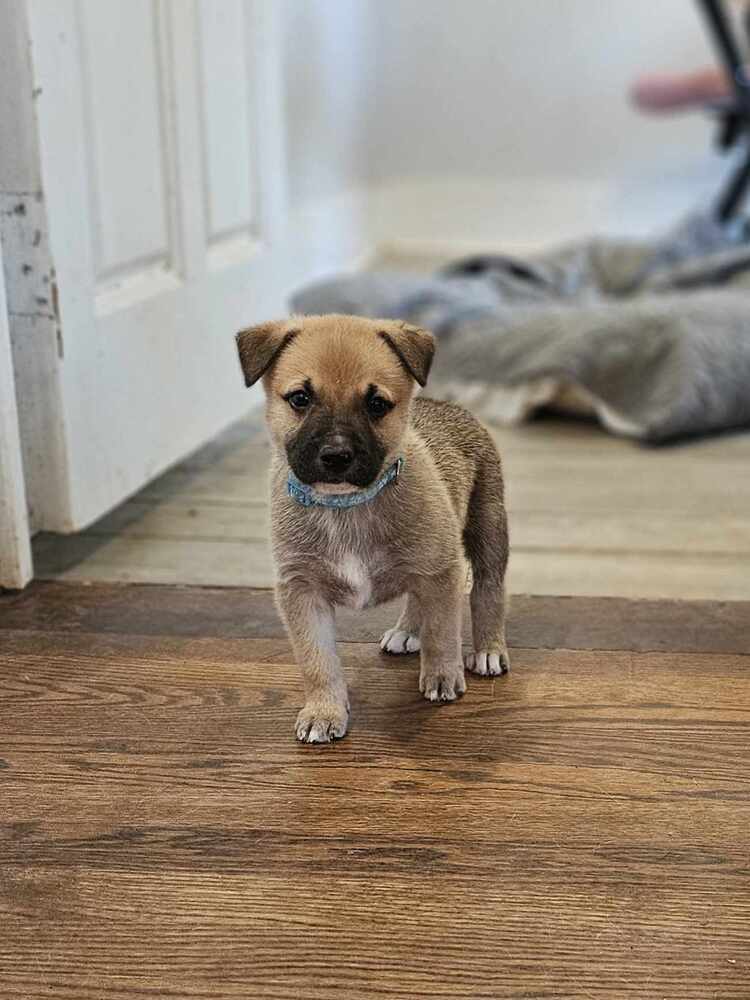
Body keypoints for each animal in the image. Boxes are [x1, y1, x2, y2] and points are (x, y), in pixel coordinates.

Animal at [236, 312, 512, 744]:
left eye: (376, 404)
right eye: (300, 399)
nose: (336, 456)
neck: (344, 505)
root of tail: (447, 405)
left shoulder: (441, 568)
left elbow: (443, 629)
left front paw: (442, 675)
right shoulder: (301, 591)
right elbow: (317, 660)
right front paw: (324, 711)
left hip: (487, 528)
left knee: (488, 588)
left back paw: (488, 649)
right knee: (420, 594)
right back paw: (407, 630)